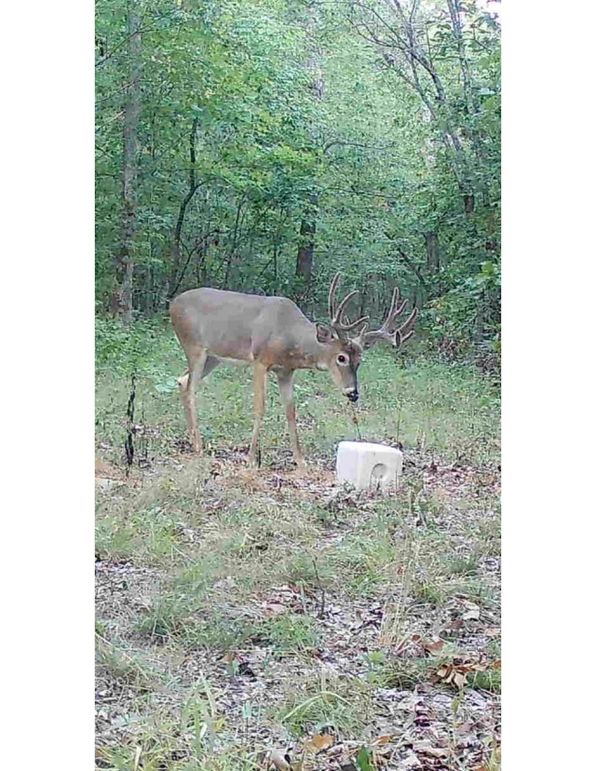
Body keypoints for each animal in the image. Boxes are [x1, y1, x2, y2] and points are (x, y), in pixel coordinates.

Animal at [170, 273, 417, 468]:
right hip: (194, 345)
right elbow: (260, 407)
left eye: (360, 360)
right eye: (341, 357)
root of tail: (173, 304)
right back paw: (199, 445)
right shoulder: (260, 360)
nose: (353, 393)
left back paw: (192, 440)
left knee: (183, 380)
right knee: (191, 388)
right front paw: (251, 458)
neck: (290, 336)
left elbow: (291, 411)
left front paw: (300, 459)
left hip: (213, 356)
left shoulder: (285, 371)